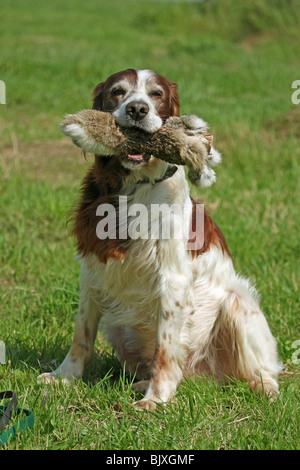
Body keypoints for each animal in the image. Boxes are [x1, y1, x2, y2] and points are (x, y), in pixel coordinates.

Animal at [38, 68, 282, 410]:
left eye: (157, 94)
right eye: (117, 91)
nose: (137, 109)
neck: (136, 186)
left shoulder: (172, 278)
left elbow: (165, 350)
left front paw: (155, 401)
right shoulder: (93, 270)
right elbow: (81, 336)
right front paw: (64, 377)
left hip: (238, 305)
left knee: (264, 369)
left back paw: (264, 388)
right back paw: (141, 383)